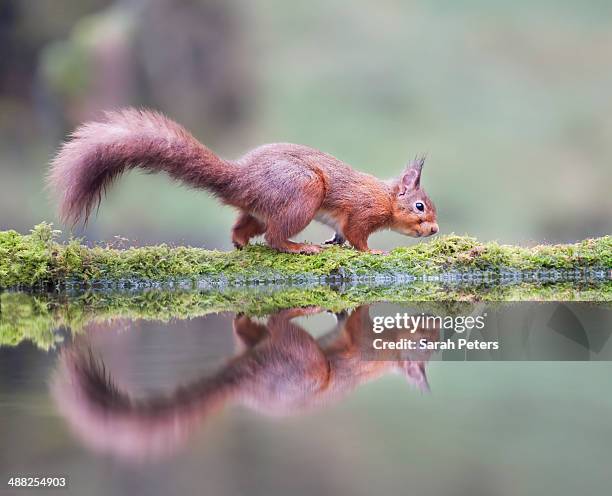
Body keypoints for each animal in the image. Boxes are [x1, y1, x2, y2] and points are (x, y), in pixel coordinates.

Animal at [50, 107, 438, 252]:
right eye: (420, 206)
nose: (435, 230)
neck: (385, 197)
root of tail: (241, 179)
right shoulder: (361, 211)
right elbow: (357, 236)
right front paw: (372, 250)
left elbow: (341, 234)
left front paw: (335, 243)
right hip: (303, 194)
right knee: (274, 237)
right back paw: (298, 246)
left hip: (259, 210)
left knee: (244, 227)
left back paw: (240, 244)